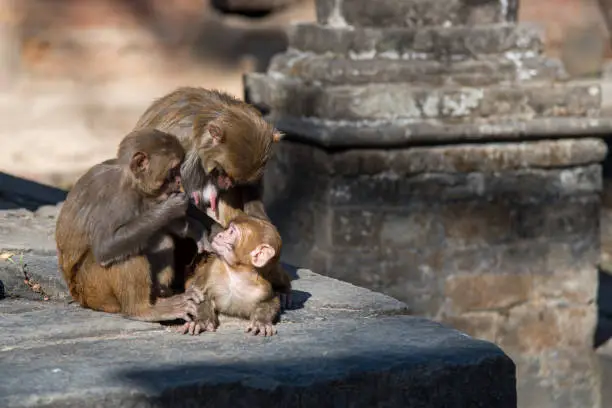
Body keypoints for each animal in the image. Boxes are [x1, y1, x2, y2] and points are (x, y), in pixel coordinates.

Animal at [55, 128, 218, 322]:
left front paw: (197, 226)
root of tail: (77, 295)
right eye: (173, 170)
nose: (179, 181)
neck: (131, 179)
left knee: (160, 239)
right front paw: (170, 209)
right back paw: (143, 310)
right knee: (126, 254)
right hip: (93, 288)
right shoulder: (116, 197)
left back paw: (160, 293)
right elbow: (105, 247)